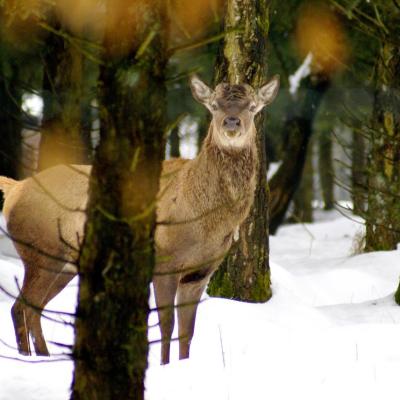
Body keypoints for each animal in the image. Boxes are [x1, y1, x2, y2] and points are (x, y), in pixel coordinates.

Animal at [0, 73, 280, 364]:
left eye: (252, 107)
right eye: (214, 106)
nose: (232, 122)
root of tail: (15, 189)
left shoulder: (200, 273)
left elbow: (187, 330)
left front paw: (183, 363)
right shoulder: (165, 261)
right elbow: (166, 324)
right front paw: (165, 365)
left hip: (63, 263)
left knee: (32, 308)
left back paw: (42, 356)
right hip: (40, 253)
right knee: (19, 307)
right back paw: (29, 357)